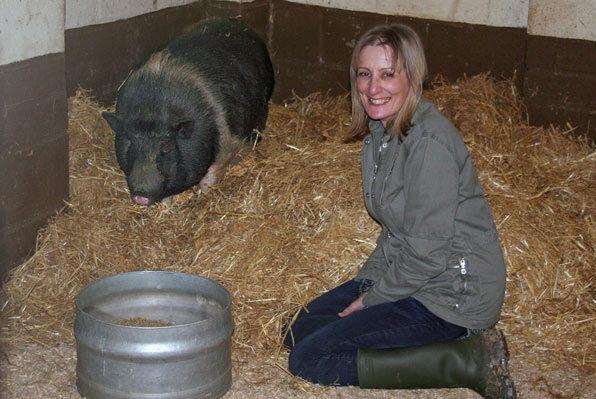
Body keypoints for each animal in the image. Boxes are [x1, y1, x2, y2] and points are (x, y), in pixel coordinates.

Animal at [102, 18, 274, 206]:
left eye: (167, 146)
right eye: (130, 141)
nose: (141, 193)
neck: (152, 110)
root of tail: (239, 24)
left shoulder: (228, 142)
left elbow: (215, 170)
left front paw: (203, 192)